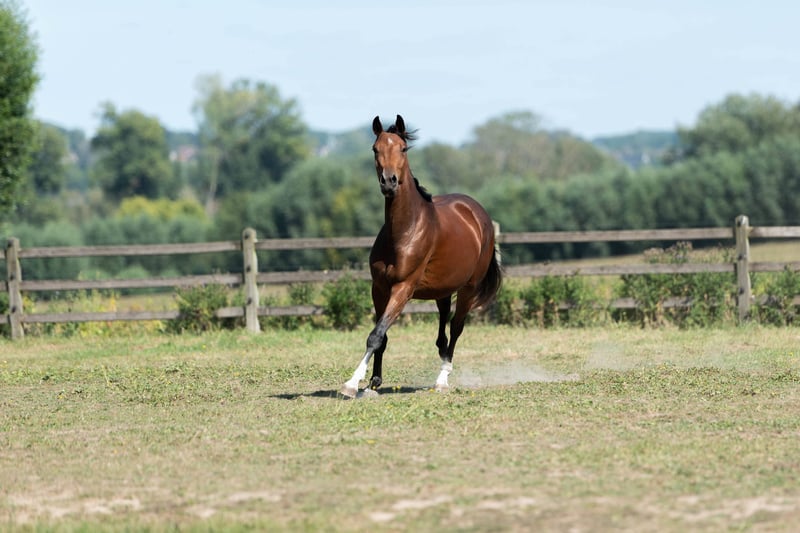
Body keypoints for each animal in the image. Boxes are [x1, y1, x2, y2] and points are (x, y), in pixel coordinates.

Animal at [341, 115, 502, 398]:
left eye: (403, 149)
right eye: (375, 149)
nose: (389, 182)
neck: (404, 231)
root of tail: (477, 213)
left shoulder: (403, 288)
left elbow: (376, 334)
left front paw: (352, 383)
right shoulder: (379, 288)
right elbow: (381, 336)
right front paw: (373, 382)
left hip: (469, 289)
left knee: (456, 327)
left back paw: (442, 379)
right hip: (443, 289)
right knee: (443, 328)